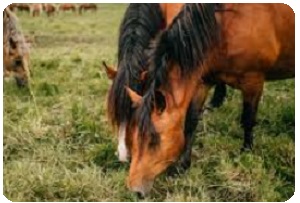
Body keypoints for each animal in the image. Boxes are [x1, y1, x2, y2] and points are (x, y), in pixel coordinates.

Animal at [123, 3, 294, 196]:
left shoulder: (254, 81)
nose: (135, 190)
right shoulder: (202, 82)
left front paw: (246, 152)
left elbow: (248, 120)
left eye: (153, 139)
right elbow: (191, 122)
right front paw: (182, 166)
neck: (226, 26)